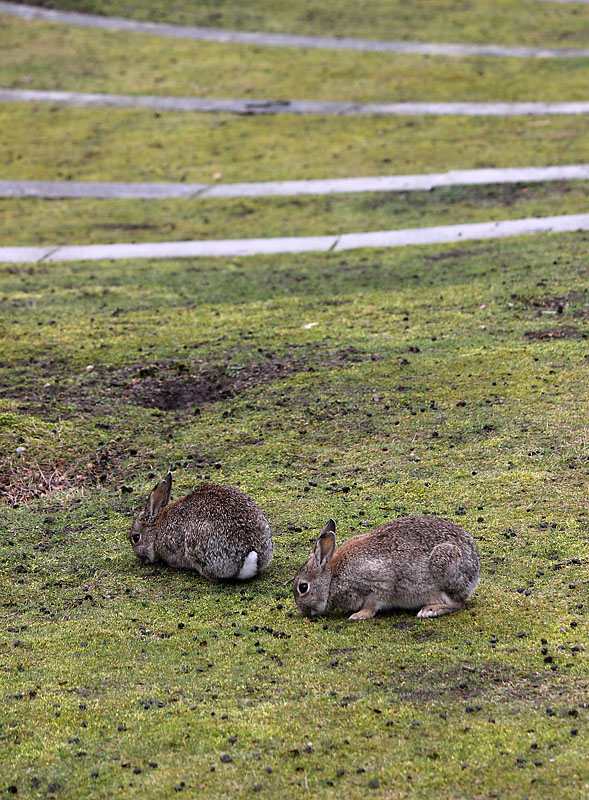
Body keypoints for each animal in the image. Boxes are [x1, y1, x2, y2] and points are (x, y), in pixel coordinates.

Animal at [292, 516, 480, 620]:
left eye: (303, 587)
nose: (303, 612)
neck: (332, 578)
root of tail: (475, 570)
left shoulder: (378, 581)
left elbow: (373, 603)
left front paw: (358, 615)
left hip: (445, 567)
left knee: (458, 604)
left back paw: (430, 610)